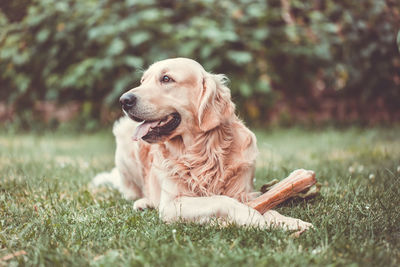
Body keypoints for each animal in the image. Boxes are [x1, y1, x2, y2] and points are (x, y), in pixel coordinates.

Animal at [93, 57, 312, 231]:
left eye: (166, 79)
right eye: (142, 81)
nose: (124, 100)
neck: (201, 153)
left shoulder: (244, 192)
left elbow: (266, 204)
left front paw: (289, 221)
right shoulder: (172, 204)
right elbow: (222, 200)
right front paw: (253, 218)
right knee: (132, 192)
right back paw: (143, 201)